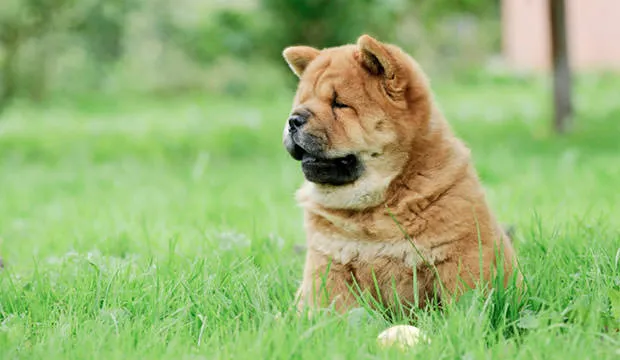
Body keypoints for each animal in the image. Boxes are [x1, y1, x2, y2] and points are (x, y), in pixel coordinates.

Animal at [280, 35, 520, 314]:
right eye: (302, 102)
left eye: (339, 104)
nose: (293, 119)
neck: (372, 206)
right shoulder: (328, 263)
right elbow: (334, 309)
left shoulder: (459, 256)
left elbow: (464, 301)